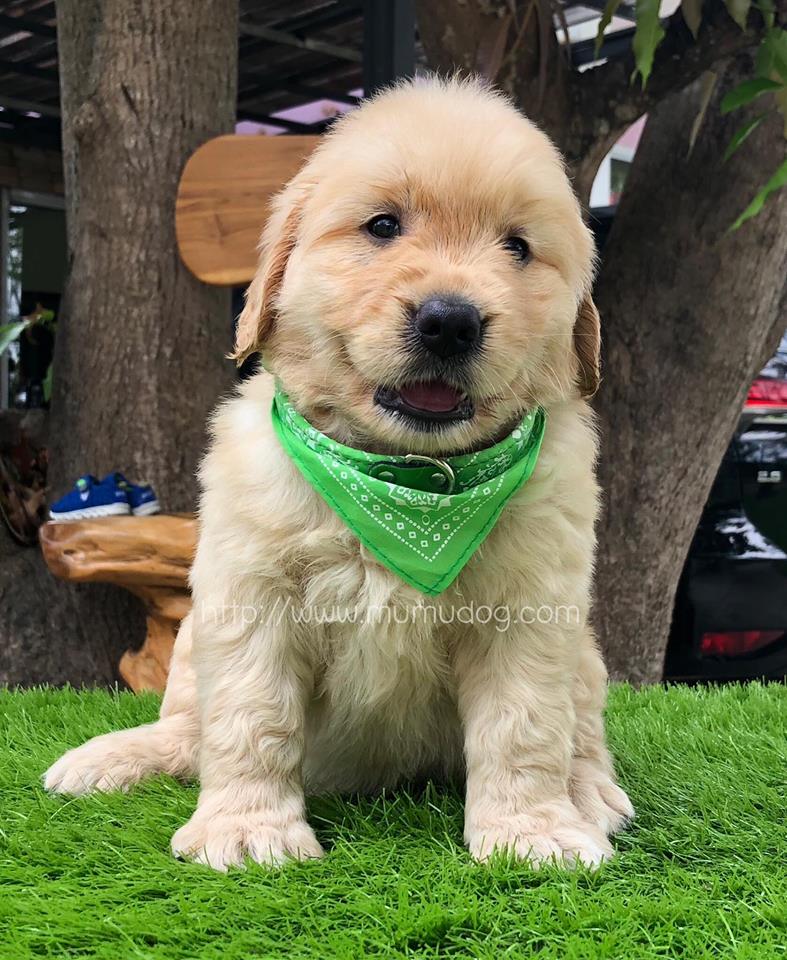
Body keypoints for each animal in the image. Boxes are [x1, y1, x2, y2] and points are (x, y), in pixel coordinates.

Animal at [45, 77, 633, 871]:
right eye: (382, 226)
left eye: (517, 246)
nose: (450, 321)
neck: (407, 476)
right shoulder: (250, 596)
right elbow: (250, 717)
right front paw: (248, 827)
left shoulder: (531, 608)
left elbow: (526, 725)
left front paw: (531, 830)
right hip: (194, 638)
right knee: (186, 731)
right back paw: (108, 758)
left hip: (584, 651)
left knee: (582, 729)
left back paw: (590, 794)